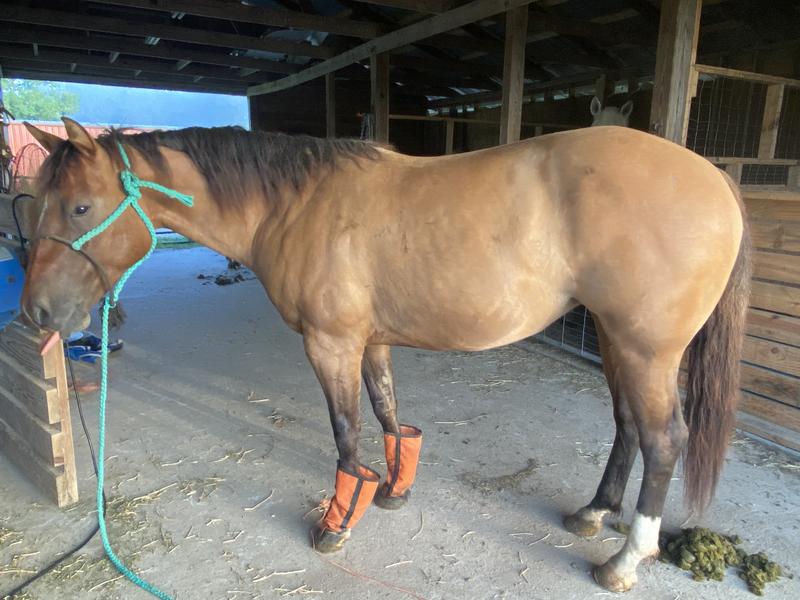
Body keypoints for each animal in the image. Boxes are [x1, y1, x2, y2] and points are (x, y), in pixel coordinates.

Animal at [21, 118, 750, 593]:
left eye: (80, 206)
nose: (36, 313)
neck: (295, 205)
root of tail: (716, 180)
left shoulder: (331, 343)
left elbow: (348, 434)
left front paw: (338, 524)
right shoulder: (371, 341)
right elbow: (389, 416)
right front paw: (395, 490)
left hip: (645, 346)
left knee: (664, 439)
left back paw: (625, 561)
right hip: (614, 337)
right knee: (627, 426)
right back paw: (594, 513)